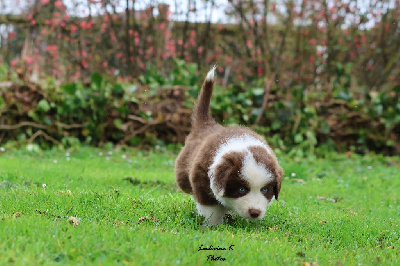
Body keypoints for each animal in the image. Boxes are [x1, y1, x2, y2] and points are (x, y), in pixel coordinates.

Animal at [173, 66, 282, 224]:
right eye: (242, 189)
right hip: (183, 172)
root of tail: (206, 123)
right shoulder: (201, 179)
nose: (255, 213)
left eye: (265, 190)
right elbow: (210, 208)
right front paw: (213, 225)